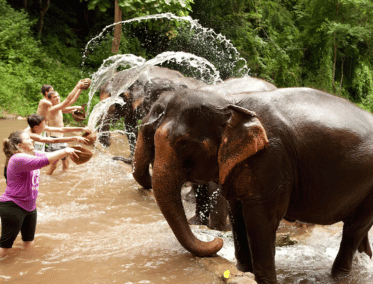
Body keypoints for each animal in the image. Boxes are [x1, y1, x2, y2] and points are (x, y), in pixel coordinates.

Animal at [133, 87, 373, 282]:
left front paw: (266, 280)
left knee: (353, 228)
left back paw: (339, 276)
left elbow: (260, 218)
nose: (217, 242)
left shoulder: (271, 158)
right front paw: (243, 270)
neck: (230, 101)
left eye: (183, 143)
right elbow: (237, 212)